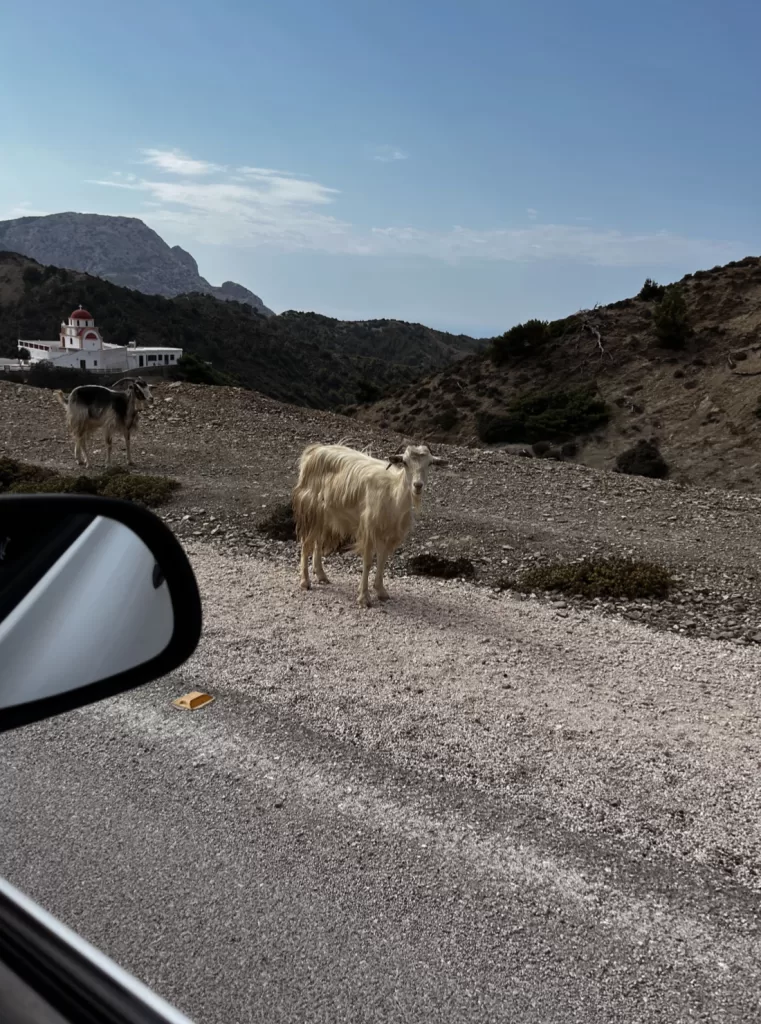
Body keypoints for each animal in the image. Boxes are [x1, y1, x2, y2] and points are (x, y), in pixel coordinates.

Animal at [293, 443, 447, 607]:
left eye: (430, 463)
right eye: (405, 462)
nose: (417, 485)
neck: (393, 495)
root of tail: (313, 450)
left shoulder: (389, 533)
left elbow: (382, 560)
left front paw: (381, 591)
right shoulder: (369, 529)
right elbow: (367, 562)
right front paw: (364, 597)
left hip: (325, 515)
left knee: (318, 541)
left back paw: (321, 575)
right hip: (311, 509)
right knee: (306, 543)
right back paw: (305, 582)